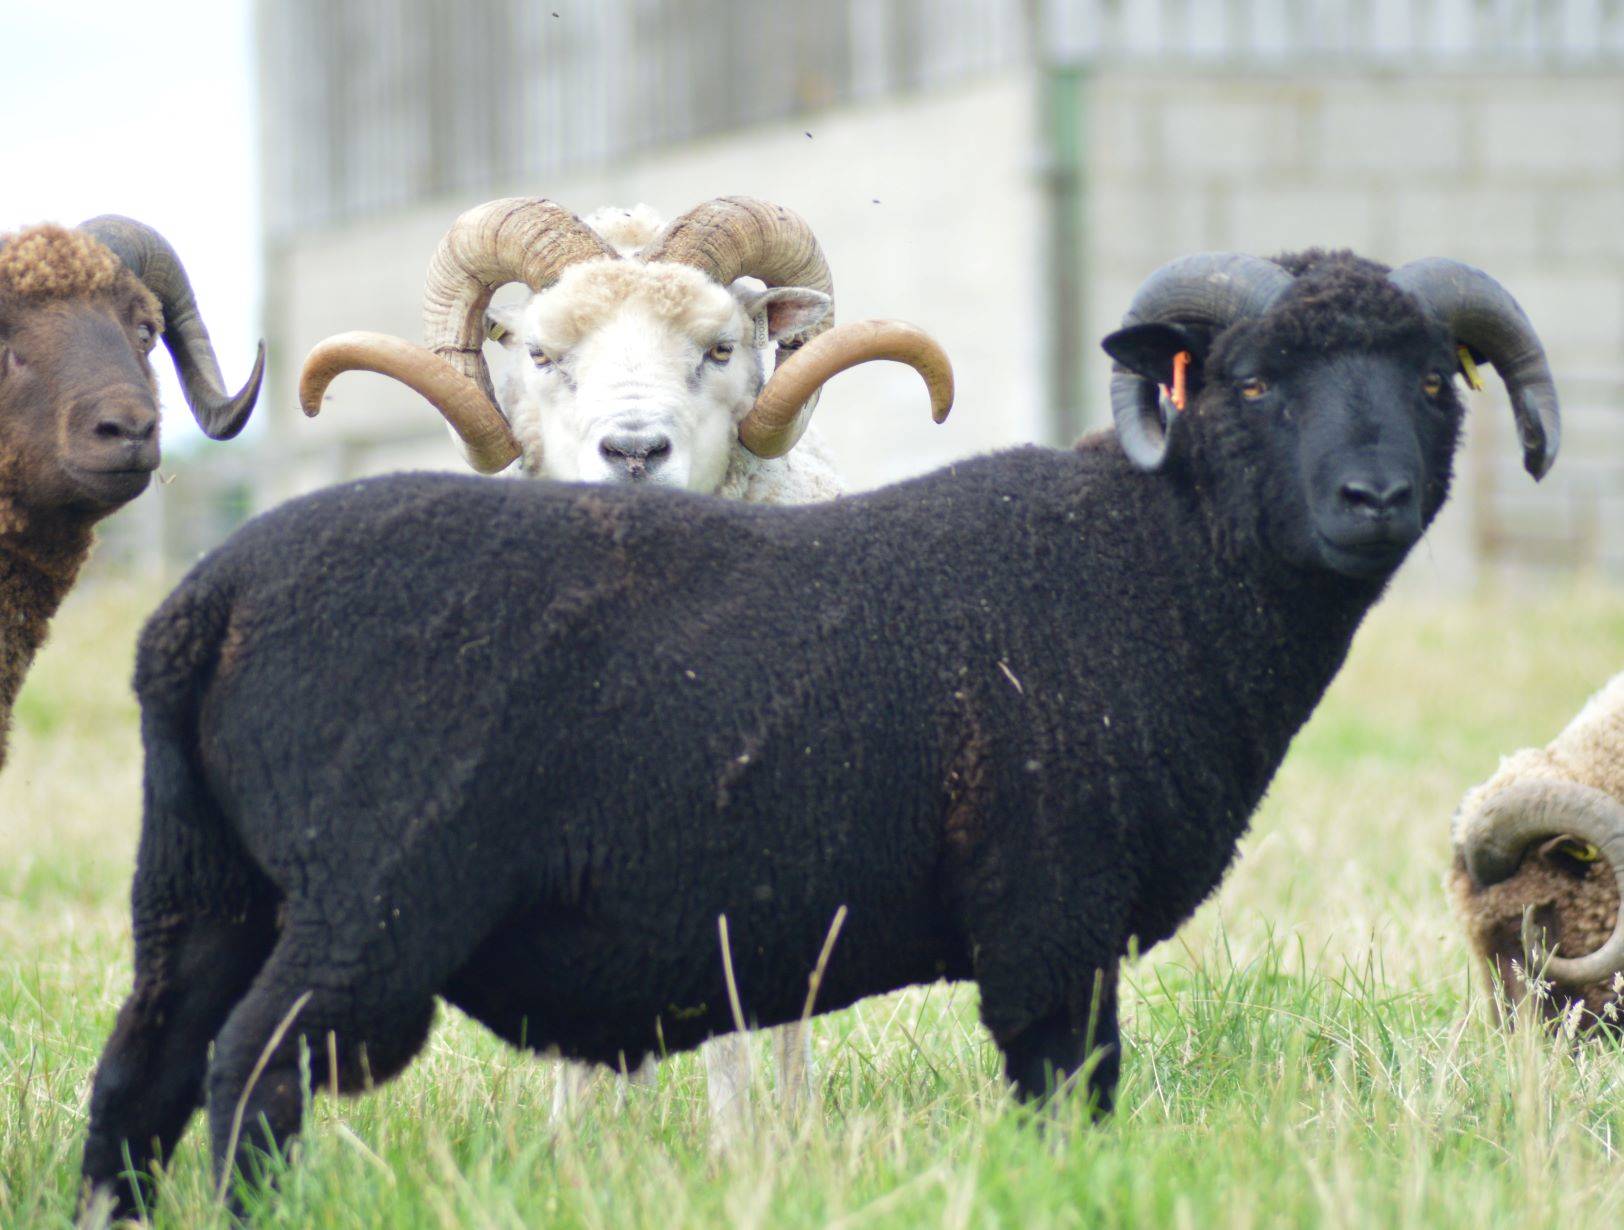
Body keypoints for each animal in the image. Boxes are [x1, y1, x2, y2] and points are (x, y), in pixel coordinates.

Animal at [81, 249, 1561, 1215]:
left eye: (1436, 382)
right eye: (1253, 383)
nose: (1373, 498)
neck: (1156, 556)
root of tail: (204, 604)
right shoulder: (1052, 914)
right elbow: (1068, 1095)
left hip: (200, 889)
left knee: (141, 1073)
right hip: (372, 900)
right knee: (250, 1073)